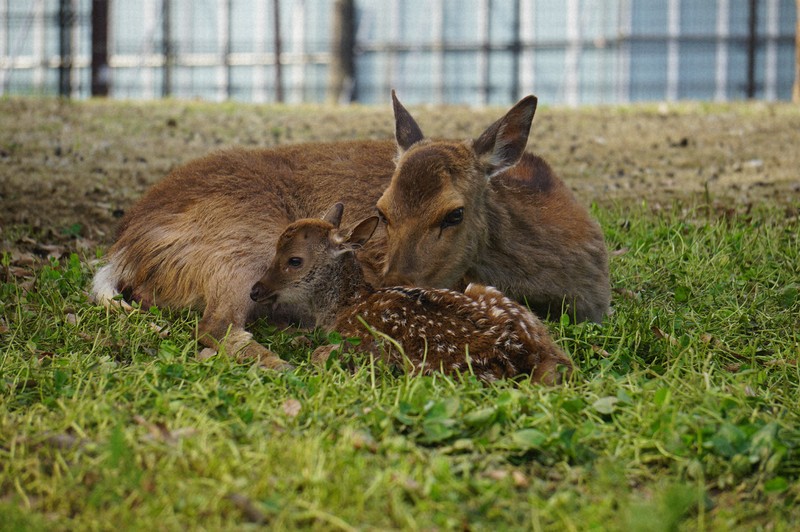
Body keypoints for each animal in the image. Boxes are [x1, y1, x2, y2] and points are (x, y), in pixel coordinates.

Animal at [250, 203, 573, 384]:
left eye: (295, 260)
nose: (255, 290)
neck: (345, 307)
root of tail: (522, 354)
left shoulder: (360, 347)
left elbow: (320, 353)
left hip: (427, 368)